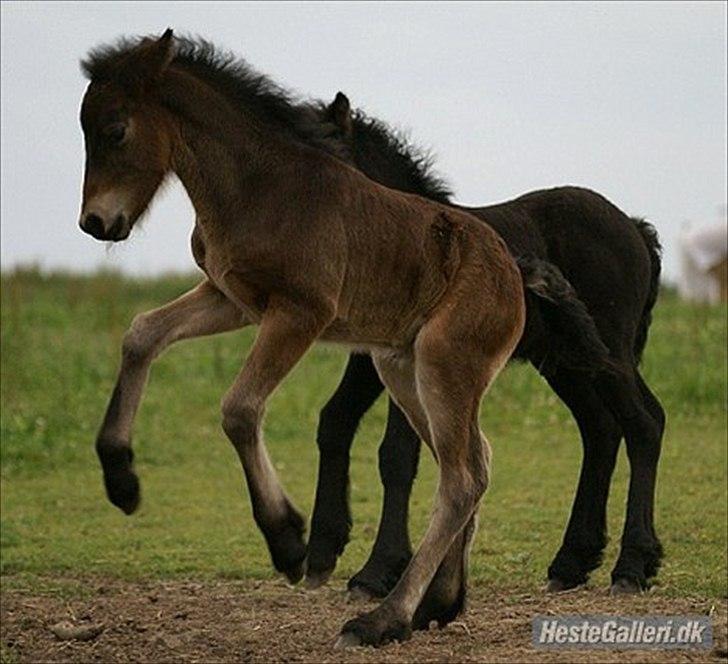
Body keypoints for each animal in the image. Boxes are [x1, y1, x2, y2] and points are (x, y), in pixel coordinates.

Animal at [78, 31, 527, 646]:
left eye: (116, 129)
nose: (95, 223)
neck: (256, 187)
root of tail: (514, 274)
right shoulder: (231, 298)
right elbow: (141, 333)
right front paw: (121, 479)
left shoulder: (300, 313)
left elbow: (240, 408)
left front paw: (289, 541)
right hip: (402, 368)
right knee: (471, 464)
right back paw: (438, 603)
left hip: (444, 365)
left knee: (460, 479)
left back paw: (382, 619)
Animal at [303, 92, 665, 602]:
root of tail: (633, 227)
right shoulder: (366, 359)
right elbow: (333, 423)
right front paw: (322, 550)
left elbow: (396, 455)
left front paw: (377, 572)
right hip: (568, 362)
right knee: (601, 429)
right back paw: (571, 562)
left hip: (609, 354)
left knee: (644, 424)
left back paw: (632, 566)